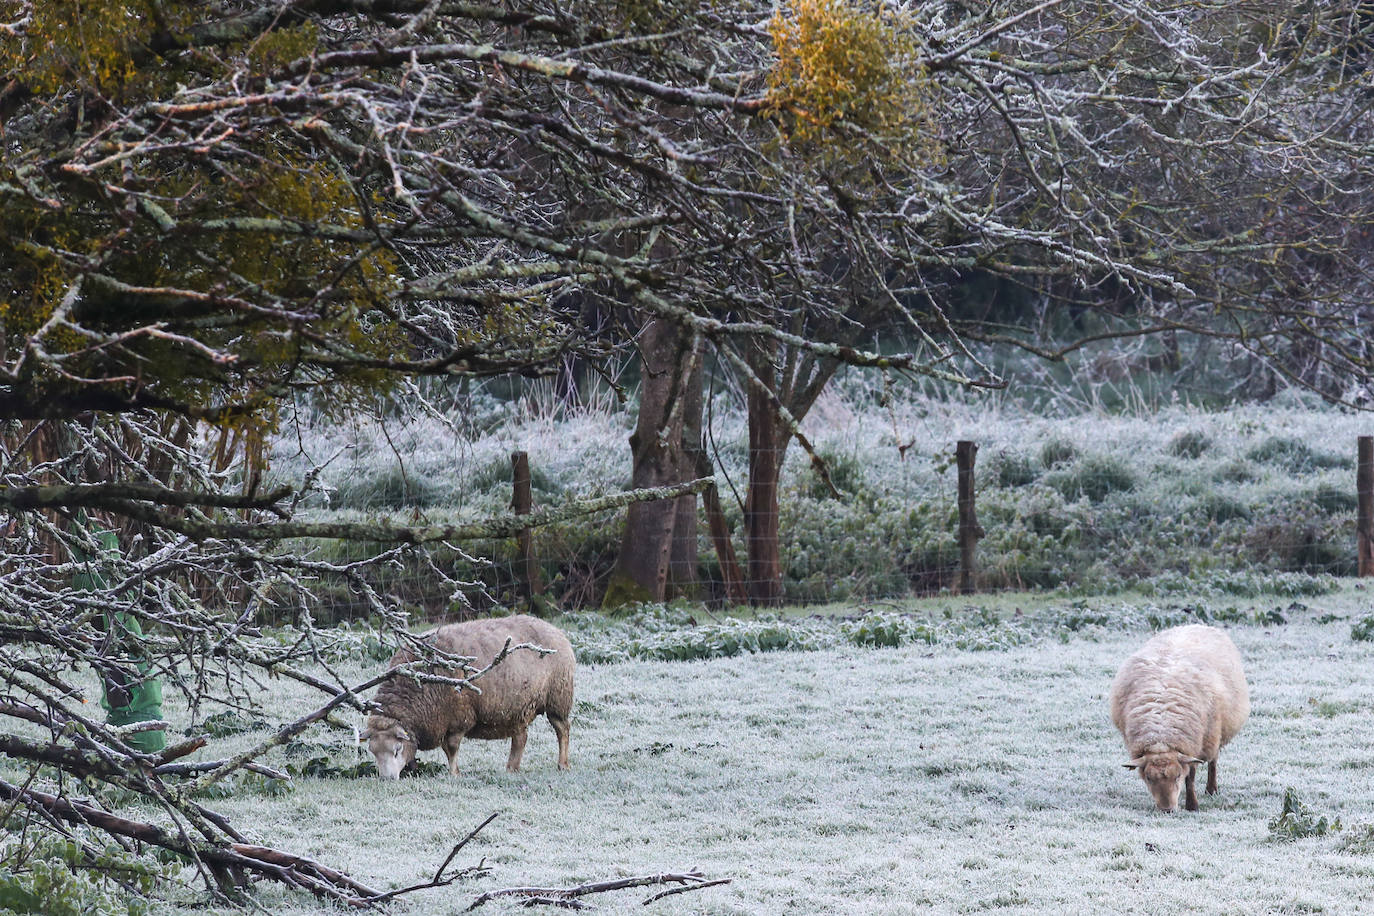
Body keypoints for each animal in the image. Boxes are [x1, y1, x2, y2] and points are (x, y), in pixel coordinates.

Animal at [359, 615, 574, 780]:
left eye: (396, 750)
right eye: (373, 751)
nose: (387, 779)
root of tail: (556, 630)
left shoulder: (458, 717)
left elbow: (451, 748)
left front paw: (454, 774)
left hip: (558, 698)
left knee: (562, 729)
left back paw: (562, 765)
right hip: (518, 707)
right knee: (521, 737)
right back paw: (512, 768)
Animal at [1110, 626, 1253, 813]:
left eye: (1177, 775)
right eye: (1148, 778)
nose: (1167, 809)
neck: (1161, 732)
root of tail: (1196, 624)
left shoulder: (1196, 745)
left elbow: (1190, 777)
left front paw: (1192, 805)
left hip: (1214, 733)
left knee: (1213, 761)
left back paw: (1211, 789)